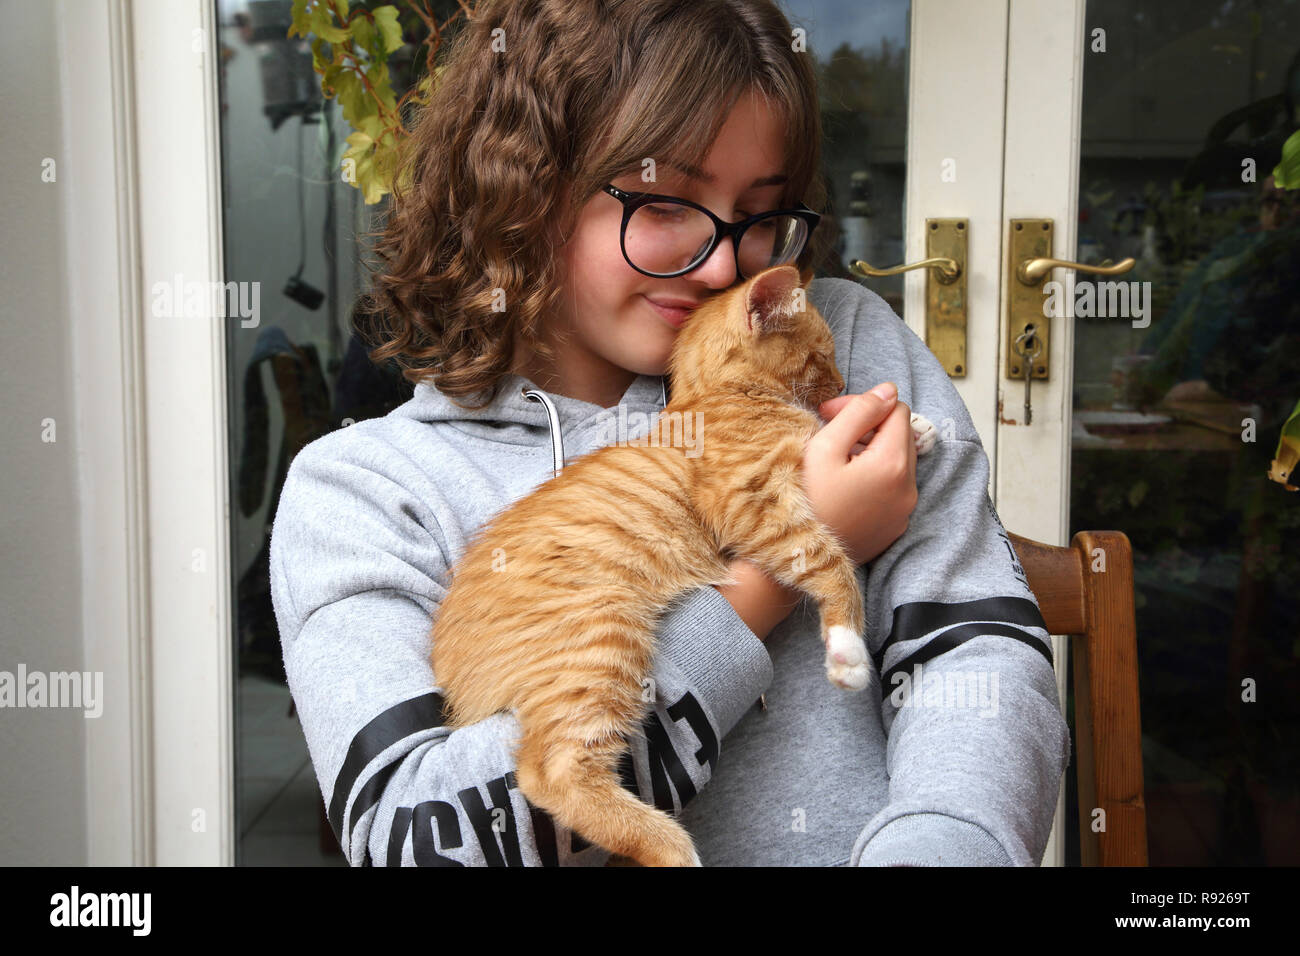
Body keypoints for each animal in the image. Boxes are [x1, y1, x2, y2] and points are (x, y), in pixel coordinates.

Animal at [434, 264, 935, 868]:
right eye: (821, 355)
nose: (841, 387)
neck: (719, 397)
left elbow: (821, 436)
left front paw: (915, 428)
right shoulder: (752, 502)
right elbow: (830, 561)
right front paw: (846, 651)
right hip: (598, 639)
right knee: (550, 772)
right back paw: (671, 847)